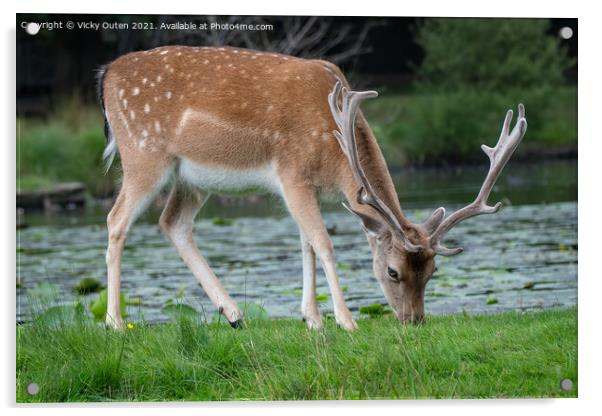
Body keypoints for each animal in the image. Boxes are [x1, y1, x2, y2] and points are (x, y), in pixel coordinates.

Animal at [96, 46, 524, 332]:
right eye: (393, 271)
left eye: (433, 270)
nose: (414, 320)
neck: (334, 147)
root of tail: (106, 74)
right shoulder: (292, 173)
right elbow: (324, 242)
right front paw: (346, 321)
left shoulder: (308, 187)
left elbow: (305, 242)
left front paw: (312, 319)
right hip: (143, 154)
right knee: (116, 220)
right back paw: (115, 322)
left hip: (192, 178)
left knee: (173, 223)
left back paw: (234, 314)